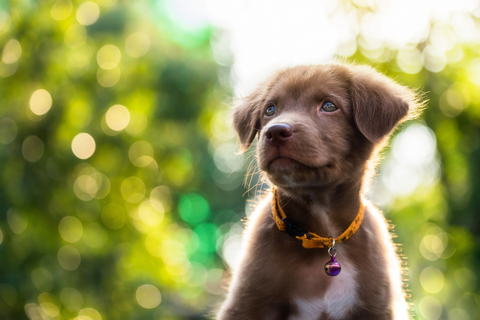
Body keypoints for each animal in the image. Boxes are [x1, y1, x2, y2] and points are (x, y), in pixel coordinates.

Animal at [216, 63, 422, 320]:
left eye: (329, 106)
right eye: (270, 109)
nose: (274, 132)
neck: (323, 235)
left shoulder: (377, 307)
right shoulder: (246, 303)